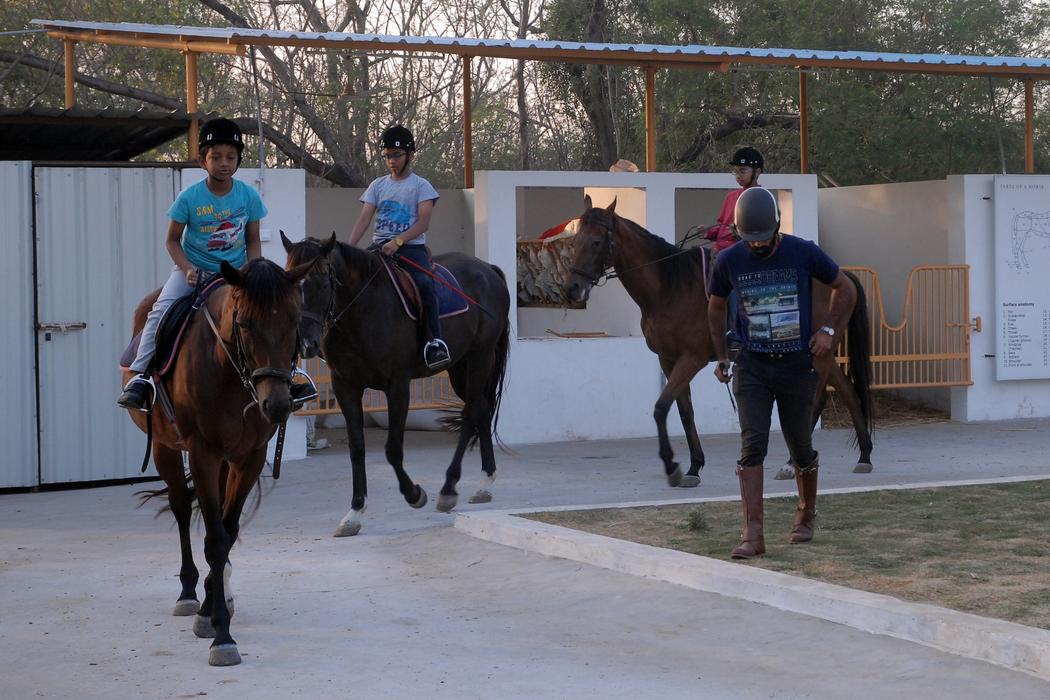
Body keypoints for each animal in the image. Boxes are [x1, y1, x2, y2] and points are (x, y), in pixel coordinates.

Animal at [125, 257, 315, 666]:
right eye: (244, 324)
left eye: (294, 320)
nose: (276, 404)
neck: (229, 371)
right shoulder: (203, 453)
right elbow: (214, 539)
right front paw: (220, 634)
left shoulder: (249, 458)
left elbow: (228, 532)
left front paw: (213, 609)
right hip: (165, 447)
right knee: (181, 508)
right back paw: (187, 593)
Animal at [282, 233, 511, 537]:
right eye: (290, 284)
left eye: (324, 283)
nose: (307, 344)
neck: (363, 310)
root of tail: (488, 270)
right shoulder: (345, 387)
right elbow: (357, 448)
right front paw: (354, 513)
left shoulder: (398, 385)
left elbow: (392, 448)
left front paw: (414, 494)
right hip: (460, 367)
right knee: (482, 409)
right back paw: (484, 482)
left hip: (479, 358)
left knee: (472, 411)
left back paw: (449, 488)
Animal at [564, 198, 874, 486]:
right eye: (575, 241)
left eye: (595, 242)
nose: (572, 288)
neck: (668, 287)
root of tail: (841, 275)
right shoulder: (668, 359)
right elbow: (684, 411)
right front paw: (693, 466)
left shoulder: (692, 358)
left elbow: (662, 406)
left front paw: (672, 466)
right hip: (823, 352)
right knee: (846, 391)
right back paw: (864, 455)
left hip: (816, 352)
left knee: (815, 400)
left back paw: (793, 463)